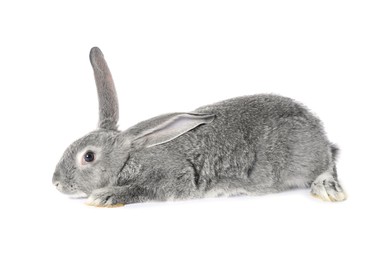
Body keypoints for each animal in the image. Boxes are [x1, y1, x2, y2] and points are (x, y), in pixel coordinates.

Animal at [52, 46, 348, 207]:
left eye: (88, 157)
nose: (55, 184)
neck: (131, 156)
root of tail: (319, 133)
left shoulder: (171, 178)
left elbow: (144, 189)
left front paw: (104, 196)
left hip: (303, 158)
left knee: (328, 165)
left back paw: (327, 188)